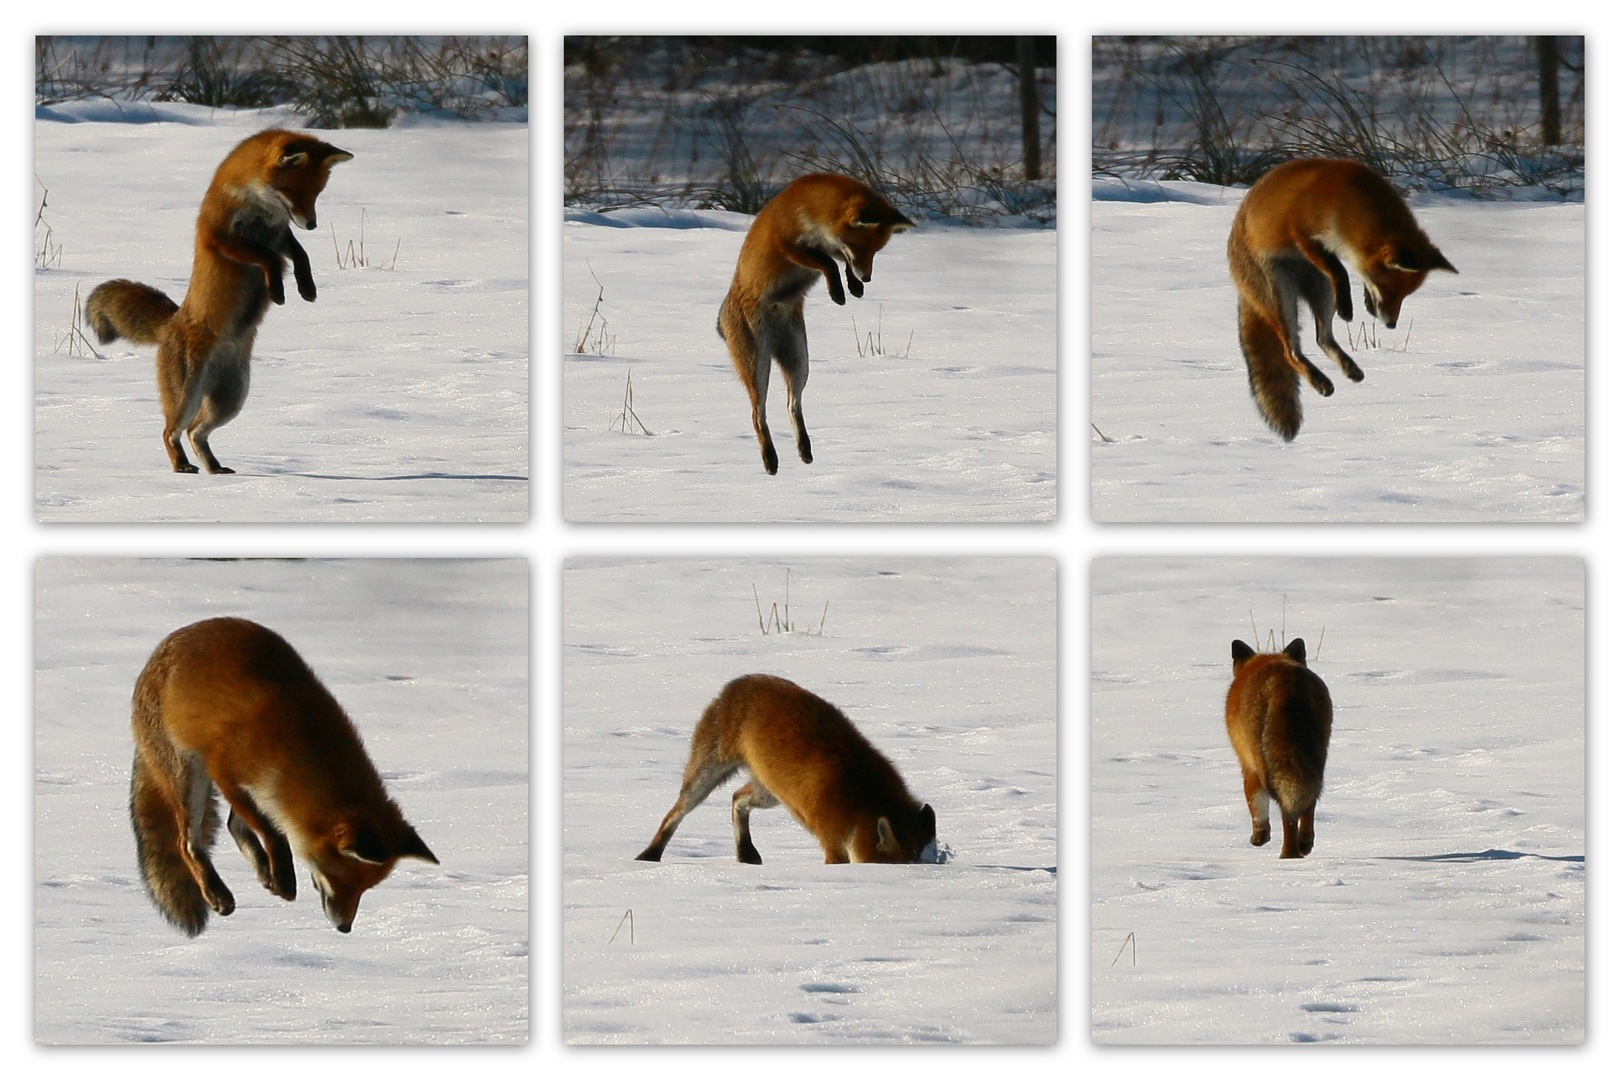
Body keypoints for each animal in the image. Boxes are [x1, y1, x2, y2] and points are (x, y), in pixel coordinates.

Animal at [129, 615, 437, 939]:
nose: (344, 928)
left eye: (365, 888)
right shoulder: (227, 773)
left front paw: (276, 875)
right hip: (189, 778)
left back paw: (262, 872)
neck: (301, 744)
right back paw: (217, 893)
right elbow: (272, 831)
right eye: (342, 879)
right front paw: (284, 876)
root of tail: (160, 650)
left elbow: (257, 827)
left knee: (232, 825)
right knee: (186, 844)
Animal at [631, 670, 939, 867]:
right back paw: (649, 855)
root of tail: (740, 682)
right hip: (706, 776)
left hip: (770, 794)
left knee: (737, 798)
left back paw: (746, 853)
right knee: (674, 815)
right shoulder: (832, 843)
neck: (861, 796)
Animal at [719, 172, 913, 472]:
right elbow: (828, 263)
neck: (811, 211)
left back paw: (804, 448)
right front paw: (838, 291)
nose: (868, 278)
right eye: (860, 247)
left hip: (800, 361)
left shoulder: (830, 247)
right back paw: (770, 458)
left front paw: (853, 286)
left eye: (876, 251)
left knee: (793, 404)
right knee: (757, 414)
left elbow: (838, 262)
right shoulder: (788, 243)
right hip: (757, 364)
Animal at [1218, 641, 1334, 861]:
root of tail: (1285, 679)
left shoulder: (1249, 766)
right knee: (1310, 801)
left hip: (1266, 765)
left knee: (1287, 811)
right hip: (1318, 758)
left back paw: (1289, 855)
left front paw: (1259, 837)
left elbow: (1255, 803)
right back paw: (1304, 845)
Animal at [1224, 155, 1458, 440]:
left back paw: (1349, 368)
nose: (1391, 324)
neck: (1344, 200)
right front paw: (1348, 306)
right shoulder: (1303, 233)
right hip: (1280, 296)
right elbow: (1340, 269)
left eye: (1405, 296)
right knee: (1290, 353)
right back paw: (1320, 381)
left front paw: (1362, 303)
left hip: (1321, 292)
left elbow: (1348, 274)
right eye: (1390, 290)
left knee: (1322, 338)